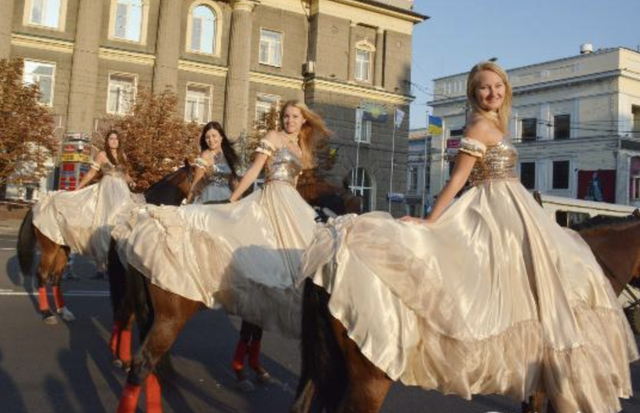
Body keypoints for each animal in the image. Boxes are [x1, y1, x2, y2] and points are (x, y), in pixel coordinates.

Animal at [15, 163, 192, 326]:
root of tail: (39, 204)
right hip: (49, 248)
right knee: (42, 275)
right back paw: (47, 313)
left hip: (62, 248)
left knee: (56, 277)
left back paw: (64, 311)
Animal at [114, 178, 360, 412]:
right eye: (354, 205)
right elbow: (252, 334)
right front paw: (247, 372)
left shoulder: (257, 302)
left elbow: (251, 333)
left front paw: (250, 371)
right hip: (171, 317)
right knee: (142, 362)